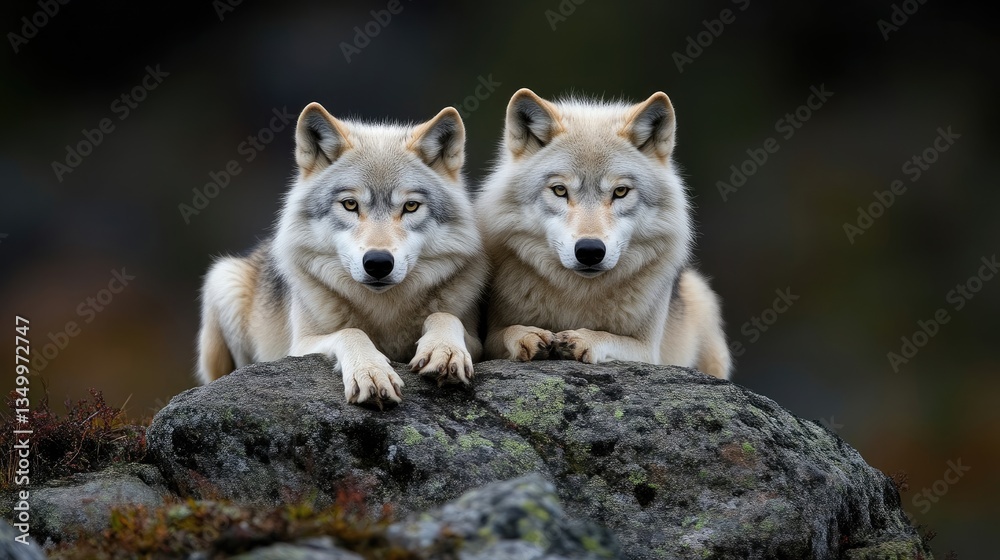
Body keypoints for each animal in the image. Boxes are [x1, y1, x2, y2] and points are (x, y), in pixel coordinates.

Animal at [197, 102, 487, 405]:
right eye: (350, 204)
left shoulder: (477, 342)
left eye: (410, 206)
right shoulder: (300, 345)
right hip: (224, 282)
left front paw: (445, 351)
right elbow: (351, 332)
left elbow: (444, 316)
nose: (378, 263)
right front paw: (371, 372)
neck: (384, 311)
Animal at [478, 88, 732, 379]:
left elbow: (610, 337)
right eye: (560, 190)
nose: (590, 251)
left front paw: (584, 338)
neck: (578, 296)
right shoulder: (489, 338)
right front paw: (526, 334)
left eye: (620, 191)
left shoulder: (647, 350)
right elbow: (505, 334)